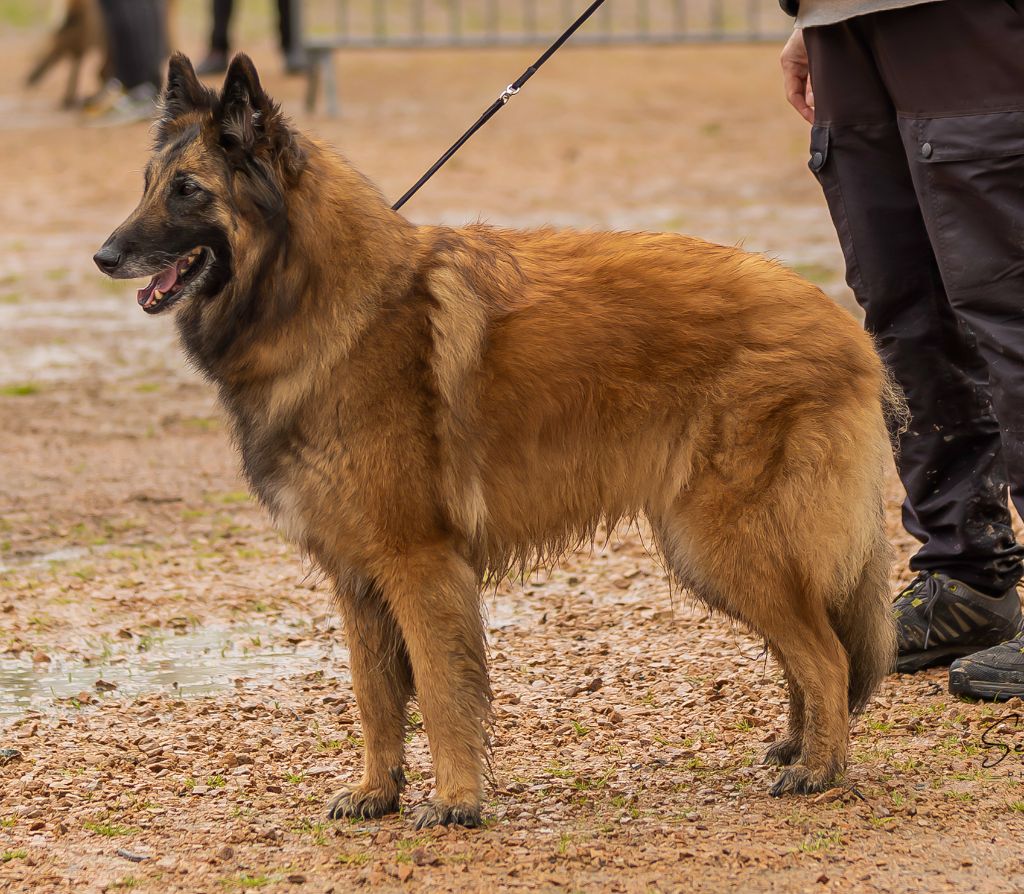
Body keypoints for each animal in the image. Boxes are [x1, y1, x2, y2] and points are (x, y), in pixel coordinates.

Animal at [94, 52, 897, 827]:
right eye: (147, 185)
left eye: (188, 190)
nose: (104, 256)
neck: (328, 303)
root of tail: (843, 325)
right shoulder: (357, 577)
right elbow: (374, 696)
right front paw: (376, 792)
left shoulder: (418, 562)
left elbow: (441, 690)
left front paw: (456, 802)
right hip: (710, 549)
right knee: (808, 649)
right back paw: (798, 744)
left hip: (724, 540)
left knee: (826, 655)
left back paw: (821, 770)